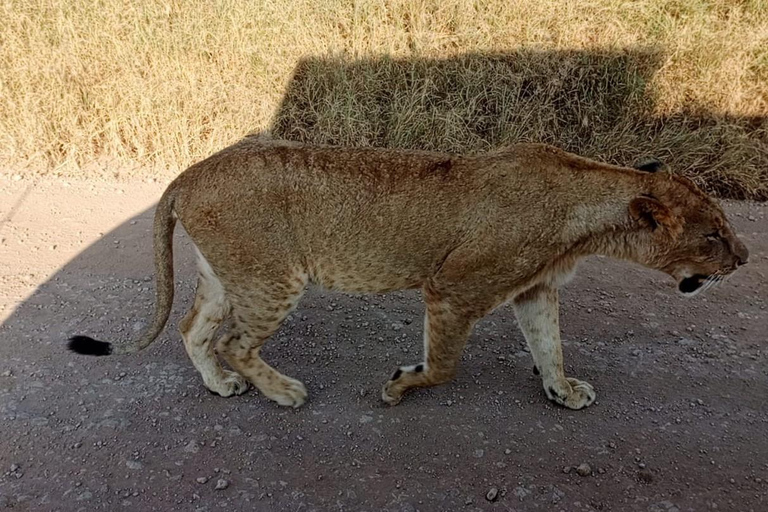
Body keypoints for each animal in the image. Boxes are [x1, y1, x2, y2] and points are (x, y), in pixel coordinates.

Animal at [67, 138, 752, 410]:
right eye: (714, 236)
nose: (745, 259)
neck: (584, 209)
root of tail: (189, 173)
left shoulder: (534, 290)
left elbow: (550, 346)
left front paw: (561, 391)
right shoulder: (452, 288)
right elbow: (444, 365)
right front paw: (400, 386)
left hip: (227, 274)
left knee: (193, 329)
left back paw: (218, 385)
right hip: (272, 279)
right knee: (235, 341)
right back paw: (283, 392)